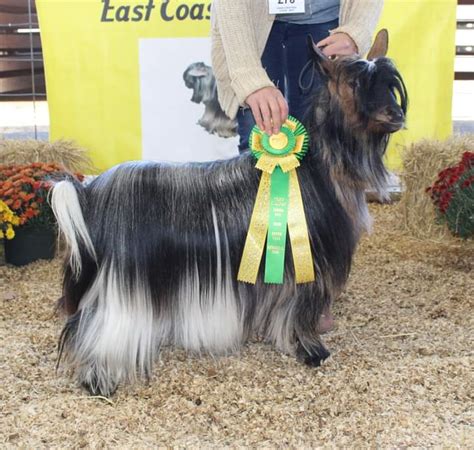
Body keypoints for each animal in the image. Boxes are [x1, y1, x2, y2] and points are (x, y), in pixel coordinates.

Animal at [51, 29, 408, 396]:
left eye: (389, 84)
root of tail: (90, 192)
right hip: (121, 288)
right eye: (354, 83)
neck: (315, 169)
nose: (396, 115)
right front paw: (312, 351)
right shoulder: (305, 266)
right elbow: (298, 313)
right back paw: (99, 379)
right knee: (101, 327)